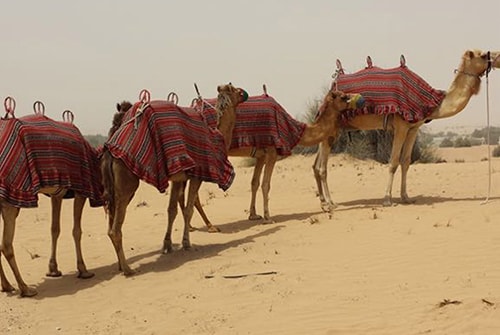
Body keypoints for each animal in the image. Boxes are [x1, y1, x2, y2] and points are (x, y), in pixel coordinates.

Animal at [0, 98, 103, 298]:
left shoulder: (58, 194)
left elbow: (54, 229)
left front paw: (53, 269)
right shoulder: (81, 190)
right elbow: (76, 230)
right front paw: (83, 269)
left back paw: (7, 286)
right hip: (10, 199)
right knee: (6, 244)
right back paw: (25, 288)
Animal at [101, 84, 248, 276]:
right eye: (236, 89)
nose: (245, 94)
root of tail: (109, 150)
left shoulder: (178, 178)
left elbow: (172, 210)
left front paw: (167, 245)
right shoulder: (196, 175)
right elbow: (188, 209)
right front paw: (186, 243)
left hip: (113, 190)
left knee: (110, 224)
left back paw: (120, 265)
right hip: (127, 185)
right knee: (115, 229)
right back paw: (128, 269)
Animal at [186, 88, 362, 228]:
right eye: (343, 97)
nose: (359, 99)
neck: (293, 130)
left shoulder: (261, 156)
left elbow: (254, 183)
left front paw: (253, 215)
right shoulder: (271, 153)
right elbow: (265, 185)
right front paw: (267, 217)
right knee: (195, 193)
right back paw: (207, 226)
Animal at [312, 48, 500, 211]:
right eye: (483, 55)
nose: (497, 56)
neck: (431, 103)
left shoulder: (413, 128)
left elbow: (406, 161)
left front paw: (406, 197)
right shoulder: (401, 126)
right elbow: (393, 162)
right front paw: (387, 199)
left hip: (331, 131)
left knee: (315, 165)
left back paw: (323, 201)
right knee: (322, 168)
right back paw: (331, 203)